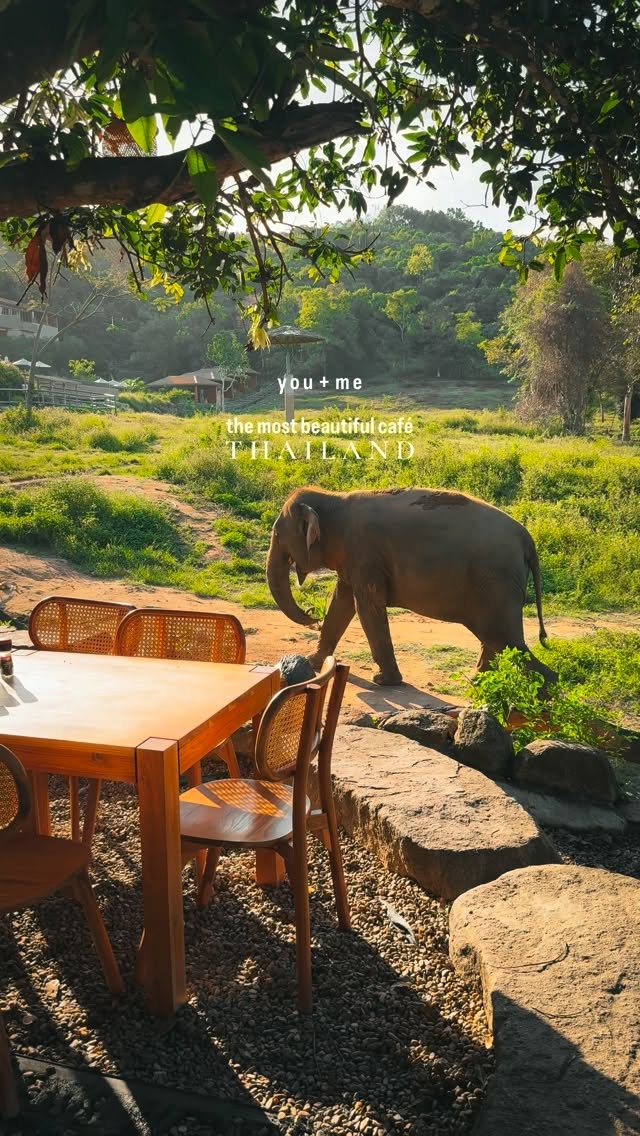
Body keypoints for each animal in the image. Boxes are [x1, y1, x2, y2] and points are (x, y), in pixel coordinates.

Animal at [266, 485, 556, 687]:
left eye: (277, 535)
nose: (311, 615)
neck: (335, 497)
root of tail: (527, 538)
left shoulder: (365, 554)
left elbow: (366, 606)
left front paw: (383, 681)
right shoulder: (353, 560)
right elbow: (342, 603)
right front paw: (313, 662)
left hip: (497, 582)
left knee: (507, 641)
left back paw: (546, 690)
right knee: (498, 640)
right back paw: (477, 682)